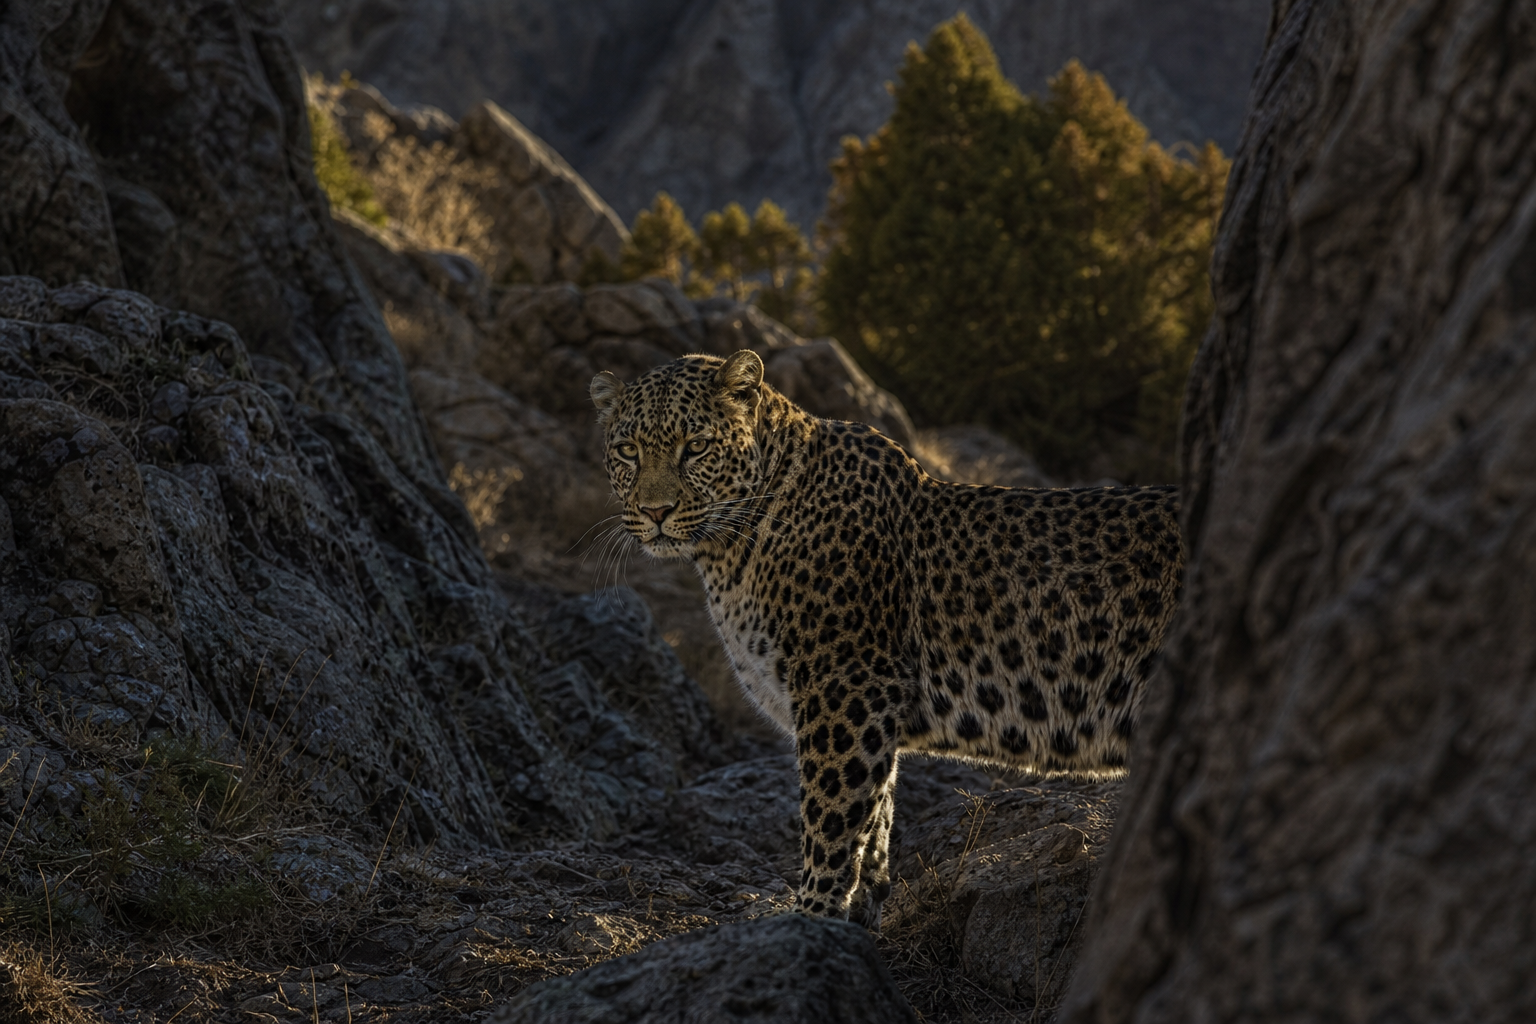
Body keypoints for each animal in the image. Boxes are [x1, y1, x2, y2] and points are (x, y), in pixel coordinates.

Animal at [590, 350, 1182, 928]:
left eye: (696, 447)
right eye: (627, 451)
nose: (655, 512)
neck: (731, 550)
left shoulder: (845, 687)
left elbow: (830, 817)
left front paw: (812, 919)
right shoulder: (870, 706)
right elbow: (876, 816)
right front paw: (858, 915)